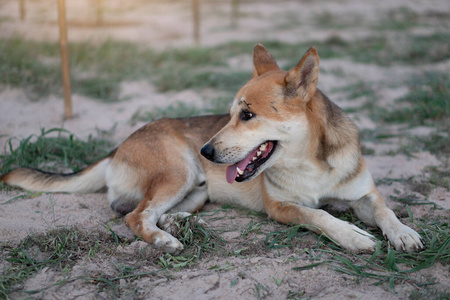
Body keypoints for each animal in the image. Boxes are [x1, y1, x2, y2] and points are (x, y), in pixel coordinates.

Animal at [0, 44, 422, 253]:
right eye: (231, 113)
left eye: (247, 115)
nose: (206, 151)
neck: (312, 164)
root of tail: (118, 146)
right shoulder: (283, 208)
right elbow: (318, 215)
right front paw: (353, 237)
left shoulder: (364, 193)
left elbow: (385, 210)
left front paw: (402, 234)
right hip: (179, 171)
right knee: (135, 216)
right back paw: (165, 239)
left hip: (195, 188)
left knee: (149, 211)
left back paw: (179, 223)